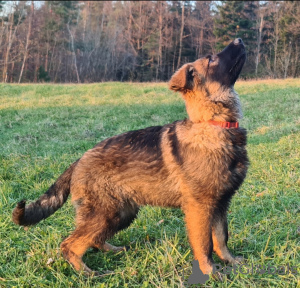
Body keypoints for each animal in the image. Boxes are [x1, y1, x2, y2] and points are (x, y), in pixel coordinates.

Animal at [12, 37, 248, 276]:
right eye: (211, 59)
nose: (239, 39)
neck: (213, 122)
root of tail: (79, 160)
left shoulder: (220, 204)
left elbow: (221, 237)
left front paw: (230, 261)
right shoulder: (200, 207)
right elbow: (204, 243)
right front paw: (210, 272)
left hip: (121, 213)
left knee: (93, 239)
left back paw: (112, 250)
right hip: (105, 213)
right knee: (70, 244)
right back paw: (86, 273)